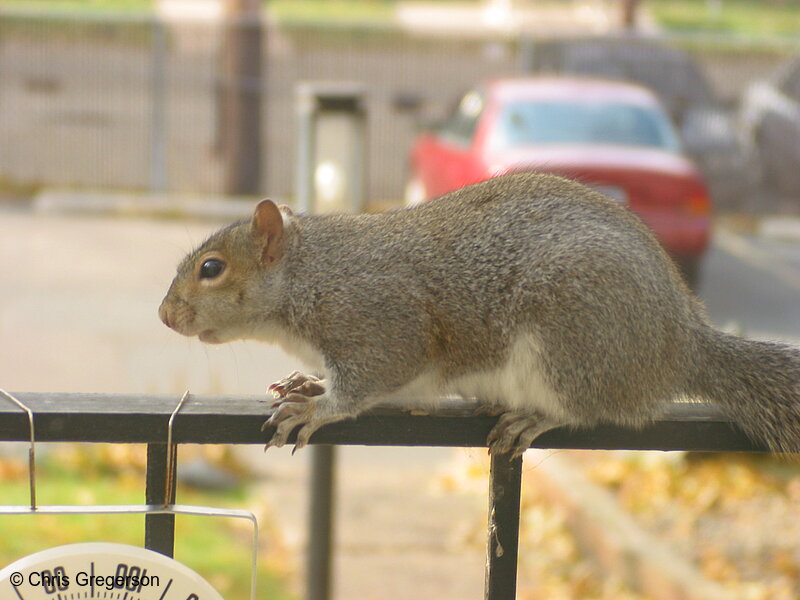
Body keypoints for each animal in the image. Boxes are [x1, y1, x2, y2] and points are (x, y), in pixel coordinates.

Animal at [161, 172, 800, 454]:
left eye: (212, 268)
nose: (166, 316)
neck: (311, 274)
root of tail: (680, 340)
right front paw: (308, 381)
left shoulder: (379, 323)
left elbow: (370, 380)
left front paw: (316, 407)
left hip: (571, 340)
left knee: (591, 408)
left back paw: (534, 419)